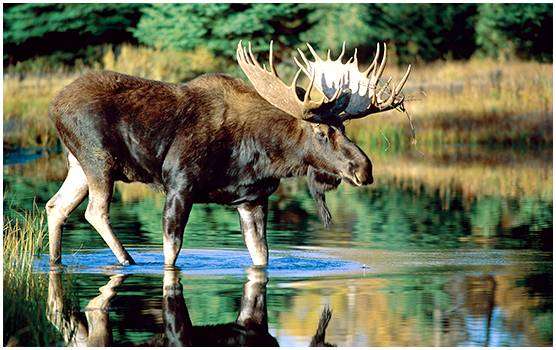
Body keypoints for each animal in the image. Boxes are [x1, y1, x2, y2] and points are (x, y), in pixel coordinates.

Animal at [45, 40, 410, 266]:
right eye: (322, 132)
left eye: (345, 129)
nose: (364, 168)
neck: (261, 155)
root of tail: (54, 105)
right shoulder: (179, 184)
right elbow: (171, 252)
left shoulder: (252, 199)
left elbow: (261, 256)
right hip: (98, 158)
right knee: (95, 211)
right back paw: (127, 260)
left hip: (78, 164)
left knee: (56, 206)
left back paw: (56, 261)